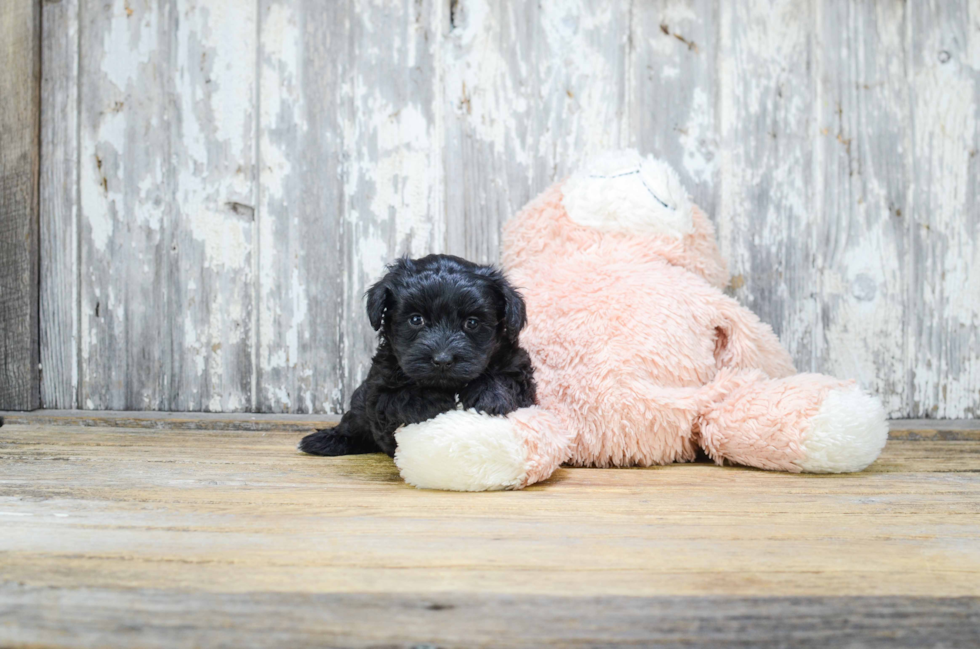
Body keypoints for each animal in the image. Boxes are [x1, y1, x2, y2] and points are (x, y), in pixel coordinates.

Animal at [302, 253, 540, 456]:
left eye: (472, 323)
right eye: (416, 320)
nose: (442, 360)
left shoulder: (519, 371)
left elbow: (505, 379)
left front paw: (490, 395)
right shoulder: (379, 385)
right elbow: (394, 397)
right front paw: (429, 400)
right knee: (355, 419)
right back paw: (330, 439)